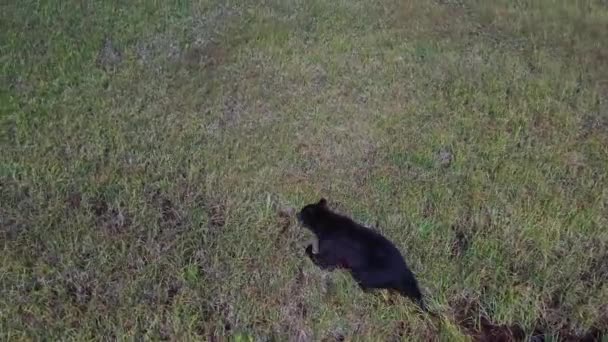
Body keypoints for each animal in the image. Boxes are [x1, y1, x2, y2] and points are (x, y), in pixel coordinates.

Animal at [296, 198, 426, 310]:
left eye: (303, 211)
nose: (297, 214)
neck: (326, 222)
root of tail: (404, 272)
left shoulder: (329, 257)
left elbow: (317, 258)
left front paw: (309, 246)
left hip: (364, 274)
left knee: (371, 289)